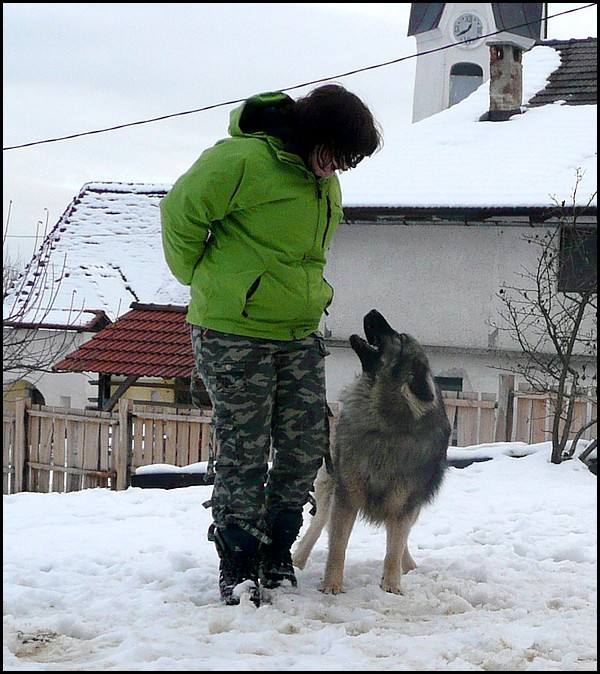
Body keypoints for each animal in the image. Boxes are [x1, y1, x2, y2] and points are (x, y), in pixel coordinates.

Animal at [290, 308, 450, 592]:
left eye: (399, 336)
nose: (373, 311)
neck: (385, 425)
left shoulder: (404, 503)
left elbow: (394, 547)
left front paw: (392, 586)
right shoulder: (345, 495)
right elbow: (338, 545)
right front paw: (332, 586)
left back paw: (408, 566)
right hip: (328, 485)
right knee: (317, 525)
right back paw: (298, 561)